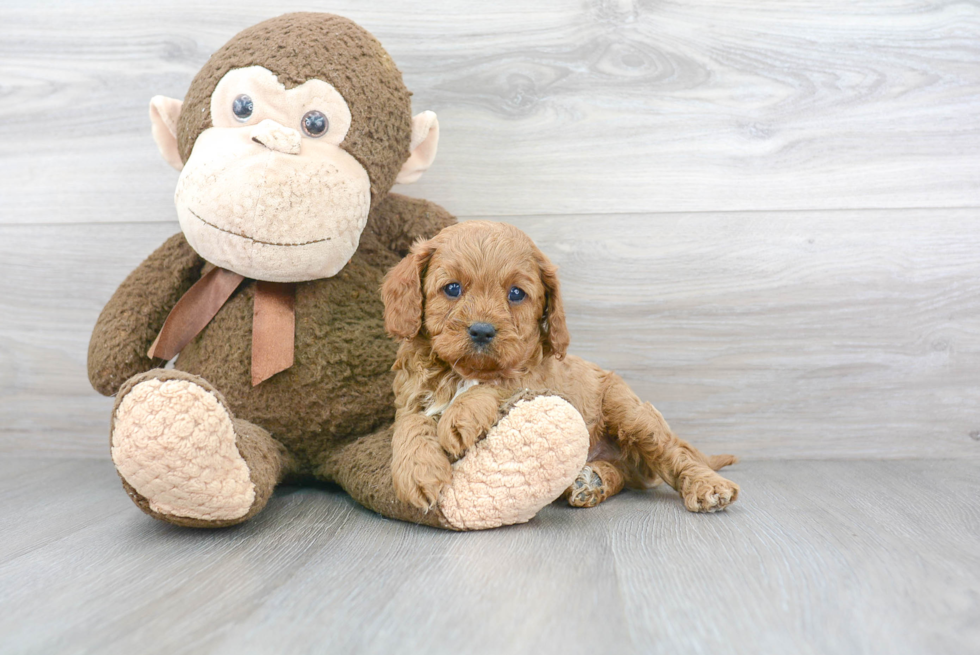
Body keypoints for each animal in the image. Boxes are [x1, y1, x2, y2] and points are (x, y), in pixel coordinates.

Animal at [378, 223, 740, 516]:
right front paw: (417, 472)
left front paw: (460, 416)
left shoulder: (538, 379)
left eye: (516, 294)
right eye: (452, 288)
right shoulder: (410, 395)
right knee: (625, 473)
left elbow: (499, 382)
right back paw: (593, 481)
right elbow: (410, 424)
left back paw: (708, 486)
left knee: (672, 453)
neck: (464, 372)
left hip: (628, 412)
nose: (481, 331)